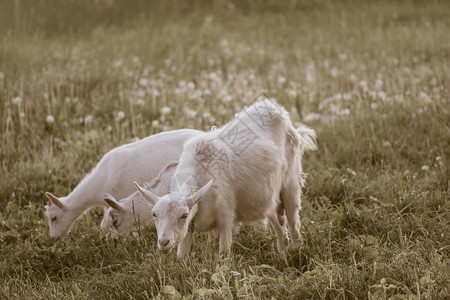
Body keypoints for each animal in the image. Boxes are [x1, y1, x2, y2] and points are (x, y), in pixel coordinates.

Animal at [136, 99, 316, 258]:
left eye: (183, 215)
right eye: (154, 214)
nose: (164, 243)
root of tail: (278, 111)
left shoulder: (226, 216)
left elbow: (223, 253)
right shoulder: (190, 226)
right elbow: (182, 256)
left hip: (290, 184)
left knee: (293, 224)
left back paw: (296, 251)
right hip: (269, 198)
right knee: (279, 226)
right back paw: (282, 254)